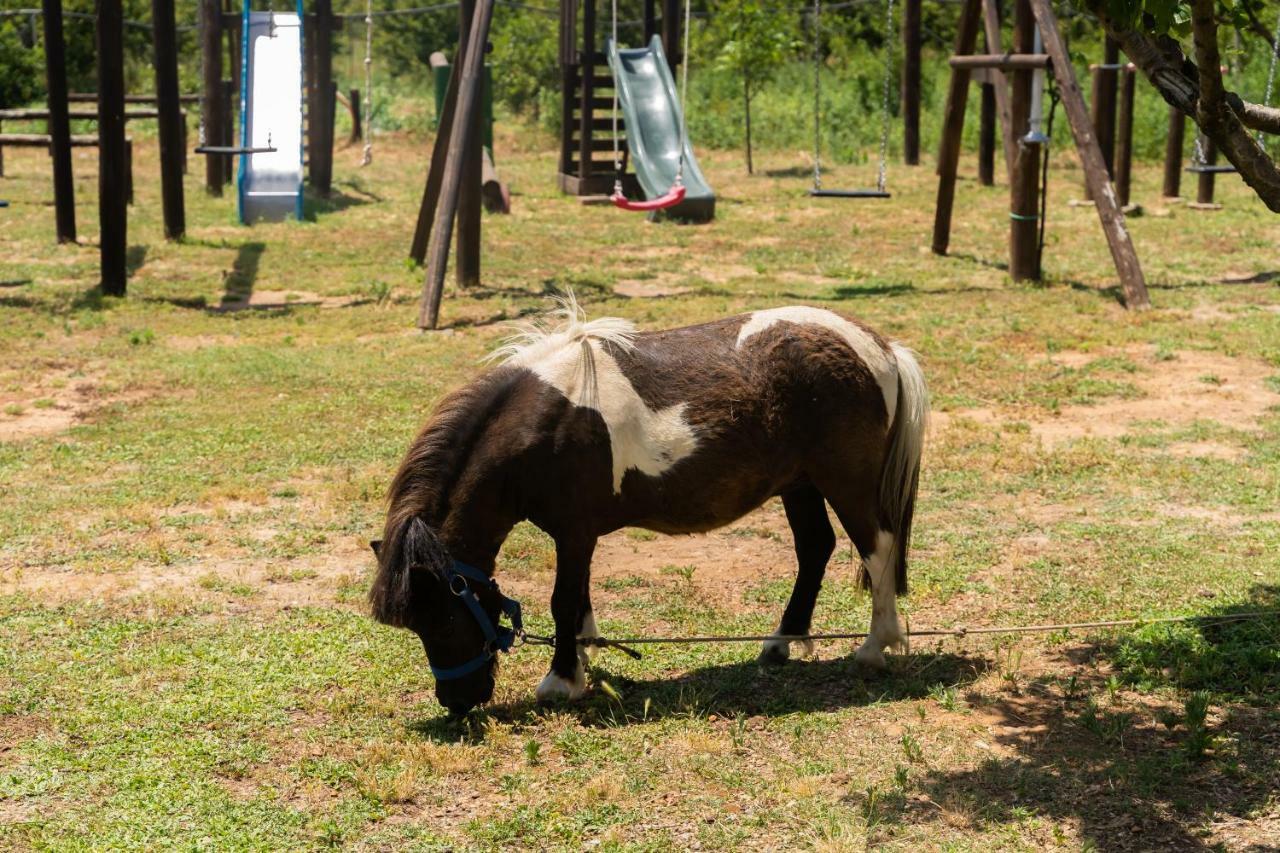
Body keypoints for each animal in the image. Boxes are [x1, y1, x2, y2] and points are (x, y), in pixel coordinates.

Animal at [371, 298, 931, 712]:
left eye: (444, 619)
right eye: (416, 624)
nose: (457, 701)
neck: (546, 420)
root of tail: (879, 347)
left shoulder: (574, 532)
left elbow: (563, 600)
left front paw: (561, 680)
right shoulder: (577, 535)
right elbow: (579, 598)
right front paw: (585, 655)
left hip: (845, 481)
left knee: (877, 548)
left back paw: (875, 647)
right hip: (799, 484)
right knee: (816, 548)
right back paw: (780, 643)